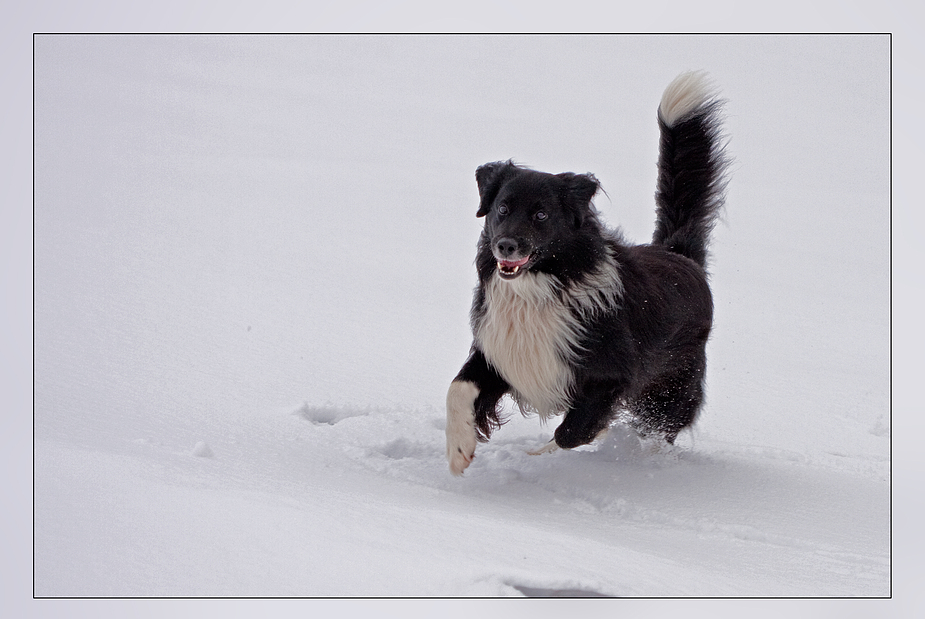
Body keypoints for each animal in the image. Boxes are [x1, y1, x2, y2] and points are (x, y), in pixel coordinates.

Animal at [448, 71, 728, 474]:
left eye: (541, 214)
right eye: (502, 208)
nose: (506, 246)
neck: (543, 285)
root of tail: (678, 254)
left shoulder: (613, 373)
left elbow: (573, 431)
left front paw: (543, 453)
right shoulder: (501, 349)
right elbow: (458, 389)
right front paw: (459, 450)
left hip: (670, 386)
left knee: (660, 426)